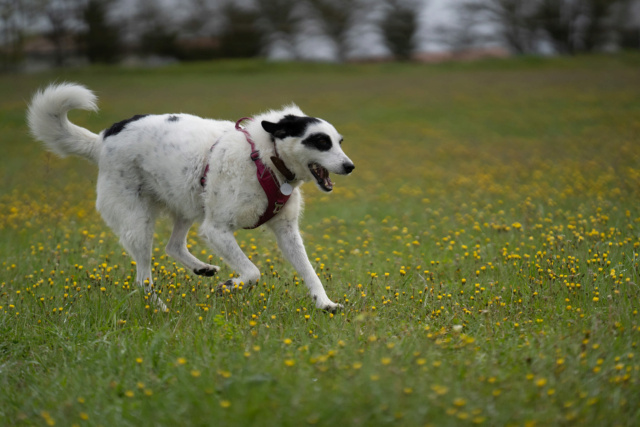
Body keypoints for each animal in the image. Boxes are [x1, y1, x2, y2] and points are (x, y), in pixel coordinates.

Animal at [27, 83, 352, 312]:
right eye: (320, 141)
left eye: (338, 141)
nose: (350, 166)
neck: (266, 157)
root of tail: (102, 141)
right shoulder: (216, 229)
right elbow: (252, 271)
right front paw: (230, 286)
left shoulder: (286, 231)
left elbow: (309, 271)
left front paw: (324, 303)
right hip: (139, 222)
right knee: (143, 278)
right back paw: (159, 307)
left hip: (187, 203)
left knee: (172, 246)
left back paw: (200, 268)